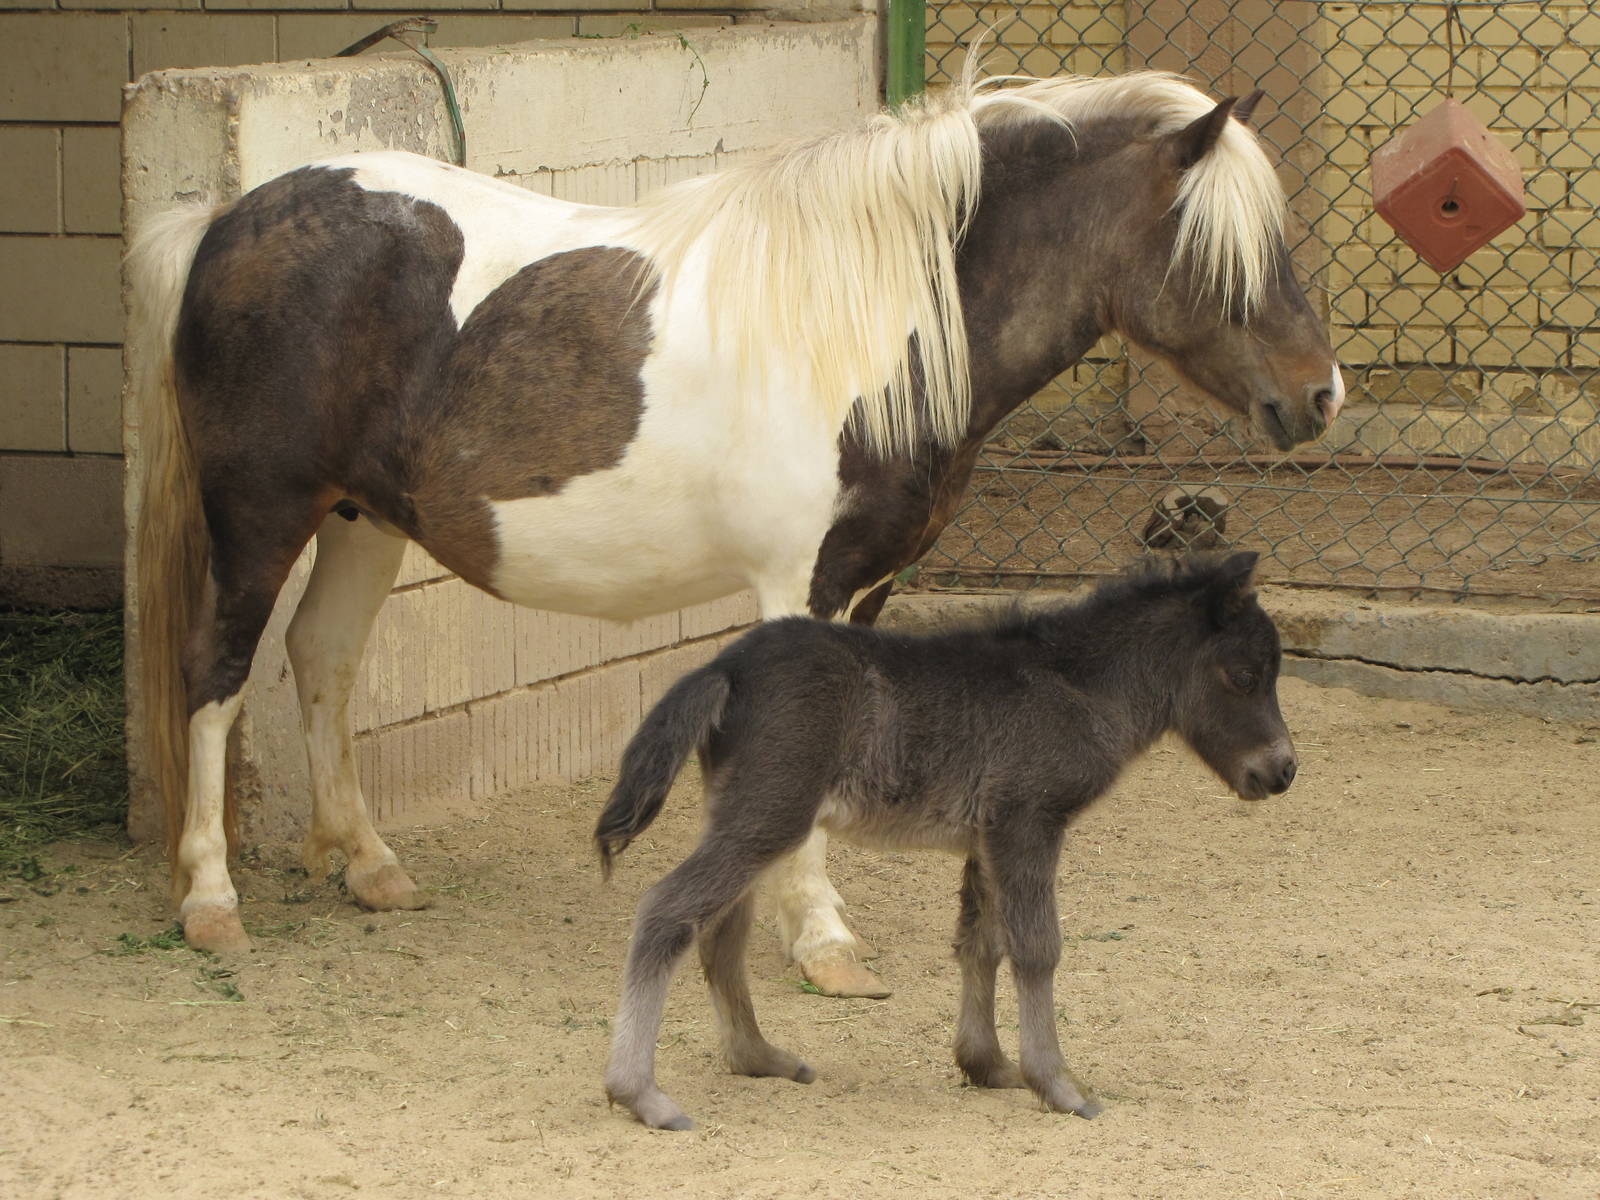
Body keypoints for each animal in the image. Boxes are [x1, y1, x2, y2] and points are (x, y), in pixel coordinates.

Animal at [126, 67, 1341, 998]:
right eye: (1225, 247)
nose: (1319, 395)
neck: (868, 320)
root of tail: (227, 221)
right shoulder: (796, 583)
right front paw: (824, 944)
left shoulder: (865, 584)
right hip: (259, 514)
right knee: (216, 671)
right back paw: (212, 900)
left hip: (363, 519)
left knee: (322, 658)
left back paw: (369, 866)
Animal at [595, 551, 1296, 1130]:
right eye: (1243, 675)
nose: (1283, 771)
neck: (1077, 686)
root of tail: (726, 666)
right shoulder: (1027, 822)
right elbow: (1037, 947)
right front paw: (1058, 1084)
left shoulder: (985, 839)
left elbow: (979, 944)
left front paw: (986, 1065)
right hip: (768, 816)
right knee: (666, 910)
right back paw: (640, 1094)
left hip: (745, 817)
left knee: (720, 935)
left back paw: (757, 1057)